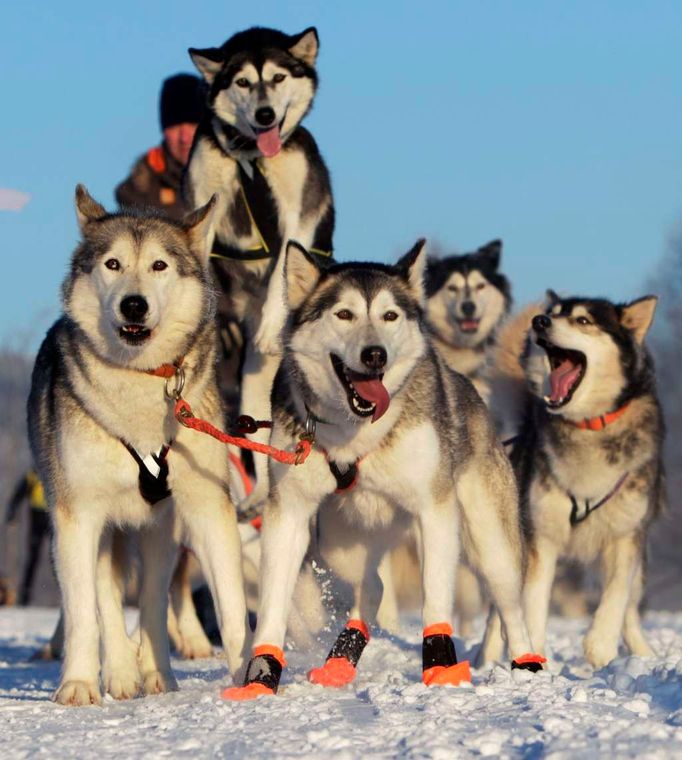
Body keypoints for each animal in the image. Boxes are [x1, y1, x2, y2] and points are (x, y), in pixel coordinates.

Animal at [28, 186, 250, 708]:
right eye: (112, 264)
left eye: (158, 266)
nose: (133, 305)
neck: (141, 382)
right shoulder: (77, 515)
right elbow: (85, 613)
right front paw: (80, 683)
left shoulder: (208, 506)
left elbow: (230, 606)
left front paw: (253, 674)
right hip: (102, 530)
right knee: (107, 603)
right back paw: (122, 673)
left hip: (160, 532)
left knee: (151, 600)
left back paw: (157, 672)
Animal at [186, 25, 334, 510]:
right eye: (243, 82)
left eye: (278, 76)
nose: (266, 115)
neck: (252, 159)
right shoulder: (204, 202)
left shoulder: (296, 217)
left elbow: (285, 263)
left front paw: (271, 323)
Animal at [486, 290, 660, 664]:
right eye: (551, 313)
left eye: (583, 320)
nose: (539, 321)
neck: (589, 427)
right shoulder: (541, 535)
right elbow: (533, 601)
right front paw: (534, 655)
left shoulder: (627, 534)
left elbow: (616, 592)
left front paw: (600, 645)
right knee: (500, 610)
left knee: (631, 607)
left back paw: (643, 655)